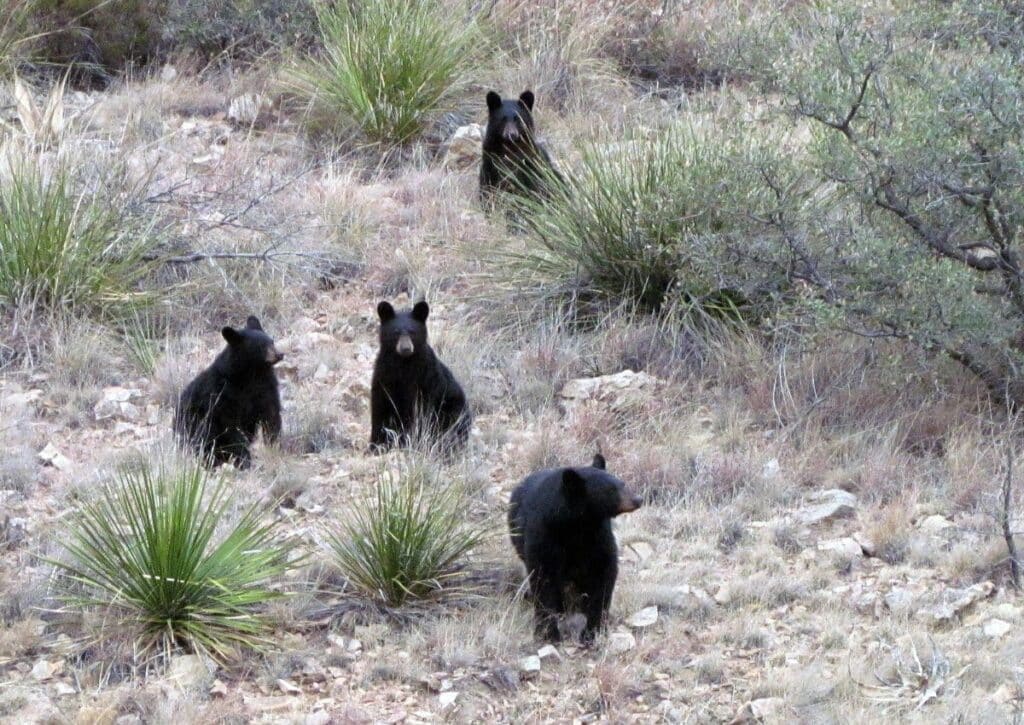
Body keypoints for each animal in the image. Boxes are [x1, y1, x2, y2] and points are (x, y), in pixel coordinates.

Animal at [173, 317, 282, 471]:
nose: (280, 354)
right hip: (194, 422)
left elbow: (271, 416)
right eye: (261, 346)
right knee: (203, 439)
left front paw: (274, 447)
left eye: (271, 341)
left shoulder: (267, 388)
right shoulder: (222, 395)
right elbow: (231, 427)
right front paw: (245, 460)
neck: (253, 374)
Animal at [368, 296, 471, 450]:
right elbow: (379, 407)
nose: (405, 348)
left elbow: (420, 412)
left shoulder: (425, 378)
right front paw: (375, 445)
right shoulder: (383, 374)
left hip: (453, 408)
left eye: (412, 332)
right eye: (396, 332)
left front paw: (410, 440)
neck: (403, 363)